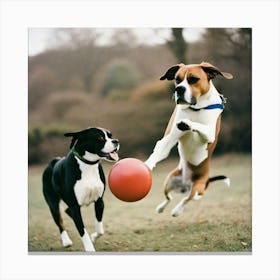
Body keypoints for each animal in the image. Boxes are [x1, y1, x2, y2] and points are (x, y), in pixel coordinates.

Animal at [145, 61, 233, 217]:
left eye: (193, 79)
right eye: (177, 79)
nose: (179, 89)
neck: (196, 108)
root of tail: (186, 185)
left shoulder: (209, 134)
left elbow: (198, 125)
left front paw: (187, 123)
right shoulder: (168, 139)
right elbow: (158, 152)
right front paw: (146, 166)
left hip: (198, 189)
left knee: (187, 199)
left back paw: (177, 210)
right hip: (169, 181)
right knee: (169, 197)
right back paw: (161, 207)